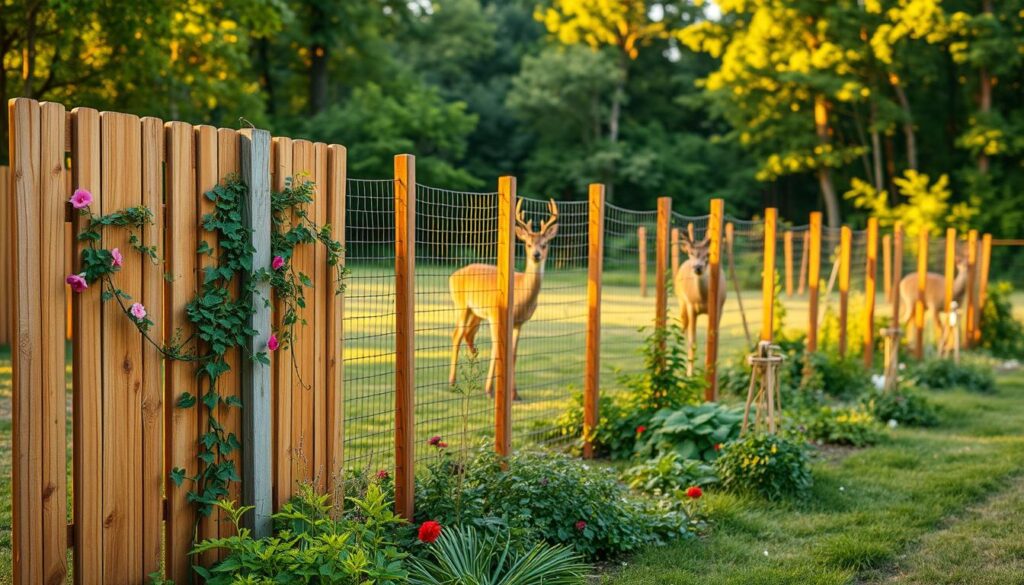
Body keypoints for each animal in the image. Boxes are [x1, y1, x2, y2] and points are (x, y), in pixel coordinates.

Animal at [448, 199, 559, 398]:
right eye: (527, 244)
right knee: (457, 334)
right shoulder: (496, 315)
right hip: (461, 304)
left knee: (468, 334)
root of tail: (454, 274)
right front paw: (490, 391)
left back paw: (473, 370)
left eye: (545, 244)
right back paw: (452, 382)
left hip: (477, 313)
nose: (536, 255)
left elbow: (513, 354)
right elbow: (497, 349)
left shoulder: (519, 322)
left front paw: (515, 394)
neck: (520, 293)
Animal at [674, 232, 727, 375]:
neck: (703, 298)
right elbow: (692, 342)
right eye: (690, 252)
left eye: (708, 254)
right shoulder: (691, 306)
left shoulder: (718, 307)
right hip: (681, 302)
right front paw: (690, 374)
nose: (697, 267)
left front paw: (712, 371)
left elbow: (714, 341)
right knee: (684, 330)